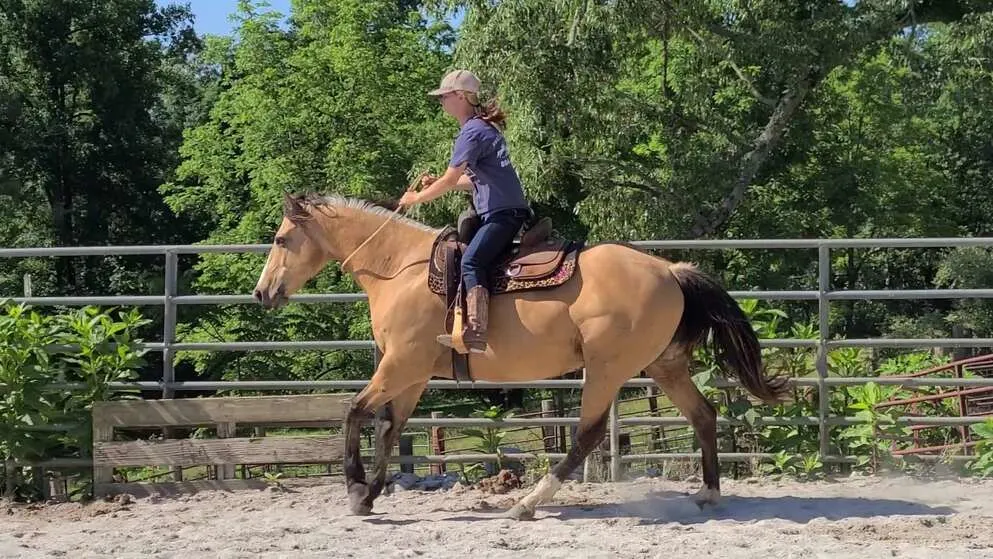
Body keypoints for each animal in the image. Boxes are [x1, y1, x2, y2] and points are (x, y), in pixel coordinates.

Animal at [252, 191, 789, 520]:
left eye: (280, 239)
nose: (262, 293)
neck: (400, 269)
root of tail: (670, 270)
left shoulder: (399, 364)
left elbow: (354, 412)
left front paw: (353, 487)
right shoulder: (413, 374)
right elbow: (389, 428)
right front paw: (369, 495)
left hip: (607, 368)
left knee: (588, 435)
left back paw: (528, 503)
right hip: (664, 364)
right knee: (703, 414)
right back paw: (708, 493)